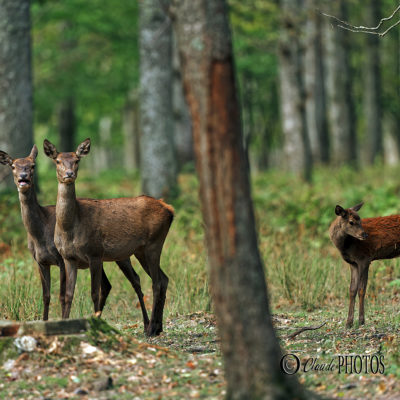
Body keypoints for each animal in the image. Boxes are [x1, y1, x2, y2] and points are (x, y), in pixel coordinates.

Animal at [43, 139, 173, 336]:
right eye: (57, 161)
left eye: (77, 160)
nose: (69, 174)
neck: (69, 228)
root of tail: (170, 209)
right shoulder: (68, 258)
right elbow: (67, 295)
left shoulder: (95, 253)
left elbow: (95, 292)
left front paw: (96, 324)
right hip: (140, 251)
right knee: (164, 279)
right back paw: (158, 327)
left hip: (154, 242)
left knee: (157, 282)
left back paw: (151, 328)